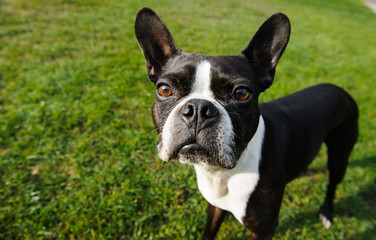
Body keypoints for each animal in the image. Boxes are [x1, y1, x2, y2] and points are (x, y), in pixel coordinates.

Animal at [134, 7, 358, 240]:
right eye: (164, 89)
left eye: (241, 93)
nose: (198, 109)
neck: (223, 173)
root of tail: (340, 89)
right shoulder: (215, 208)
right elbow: (209, 232)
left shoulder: (264, 229)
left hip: (340, 154)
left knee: (332, 183)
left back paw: (326, 213)